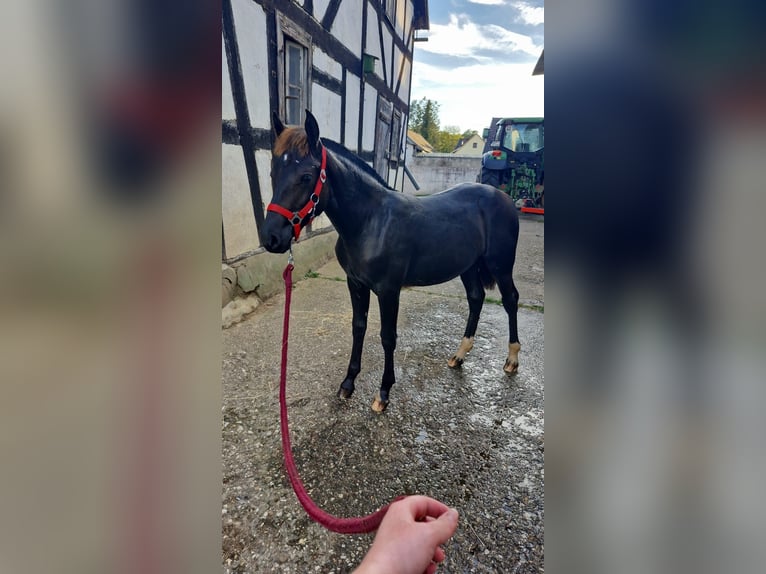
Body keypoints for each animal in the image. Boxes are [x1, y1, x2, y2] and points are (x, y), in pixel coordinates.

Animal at [262, 110, 520, 412]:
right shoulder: (355, 284)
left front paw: (383, 393)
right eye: (273, 172)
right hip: (468, 266)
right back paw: (459, 356)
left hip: (501, 265)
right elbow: (358, 328)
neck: (371, 222)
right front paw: (348, 384)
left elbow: (388, 337)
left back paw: (512, 359)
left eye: (305, 176)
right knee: (476, 298)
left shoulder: (388, 291)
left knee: (510, 300)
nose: (271, 237)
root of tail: (503, 196)